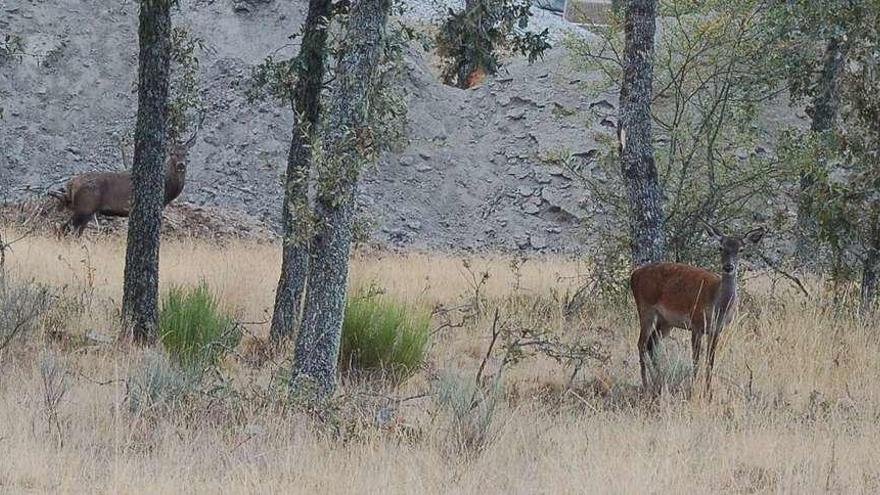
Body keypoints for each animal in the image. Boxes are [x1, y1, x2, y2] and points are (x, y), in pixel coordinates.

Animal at [50, 122, 201, 236]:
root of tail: (71, 183)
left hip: (86, 210)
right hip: (85, 207)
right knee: (65, 229)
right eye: (172, 153)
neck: (166, 191)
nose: (181, 165)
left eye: (186, 153)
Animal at [628, 223, 768, 398]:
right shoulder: (696, 324)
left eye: (741, 249)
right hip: (645, 307)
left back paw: (659, 381)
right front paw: (694, 389)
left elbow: (710, 361)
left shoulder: (716, 330)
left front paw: (709, 392)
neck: (717, 305)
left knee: (651, 344)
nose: (728, 267)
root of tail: (634, 275)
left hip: (665, 321)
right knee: (641, 343)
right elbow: (695, 359)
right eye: (720, 247)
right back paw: (647, 385)